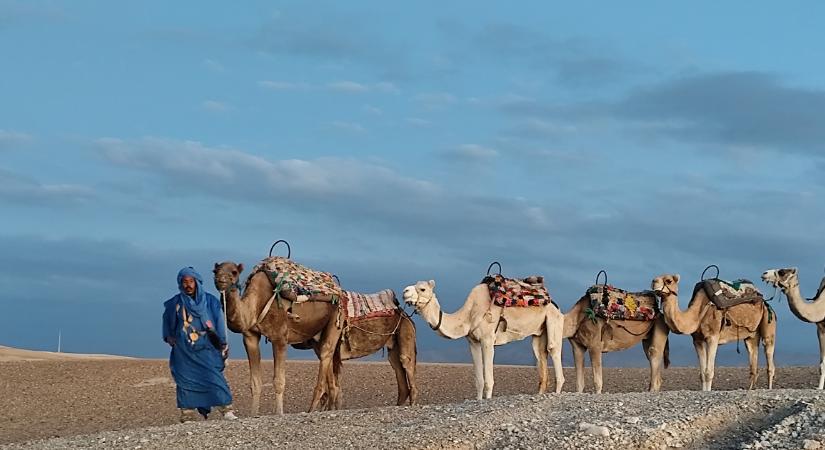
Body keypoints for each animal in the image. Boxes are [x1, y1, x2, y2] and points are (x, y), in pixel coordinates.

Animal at [214, 262, 418, 416]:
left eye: (234, 272)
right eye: (215, 271)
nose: (220, 280)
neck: (256, 302)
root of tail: (404, 314)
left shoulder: (280, 337)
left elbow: (279, 380)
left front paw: (279, 413)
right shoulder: (250, 336)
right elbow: (254, 382)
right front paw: (253, 415)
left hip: (354, 322)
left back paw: (311, 409)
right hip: (388, 344)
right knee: (395, 375)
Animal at [402, 280, 564, 400]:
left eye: (422, 289)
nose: (404, 291)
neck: (468, 314)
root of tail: (555, 305)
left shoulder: (487, 340)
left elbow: (489, 381)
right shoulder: (473, 342)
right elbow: (479, 381)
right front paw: (479, 400)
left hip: (554, 320)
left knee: (553, 350)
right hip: (539, 333)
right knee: (540, 356)